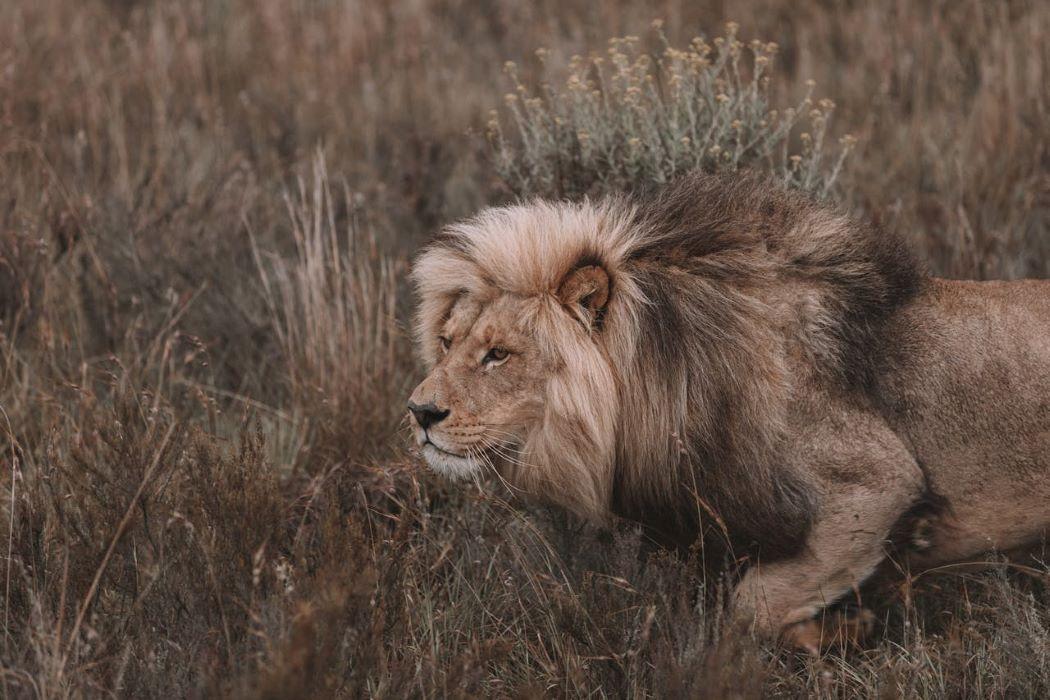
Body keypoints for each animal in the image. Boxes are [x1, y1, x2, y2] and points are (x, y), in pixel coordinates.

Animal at [406, 171, 1050, 650]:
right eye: (448, 342)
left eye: (498, 354)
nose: (419, 412)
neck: (664, 377)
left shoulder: (877, 485)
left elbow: (750, 606)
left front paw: (846, 630)